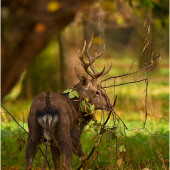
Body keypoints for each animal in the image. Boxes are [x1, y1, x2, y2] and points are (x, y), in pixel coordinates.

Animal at [25, 34, 112, 170]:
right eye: (97, 92)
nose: (109, 105)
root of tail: (46, 111)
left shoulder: (53, 141)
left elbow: (56, 162)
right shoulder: (75, 134)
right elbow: (85, 160)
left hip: (33, 130)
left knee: (28, 161)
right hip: (64, 132)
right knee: (67, 162)